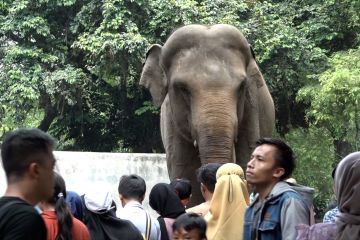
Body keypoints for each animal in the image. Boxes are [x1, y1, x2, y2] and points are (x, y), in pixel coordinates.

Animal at [139, 23, 274, 204]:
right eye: (182, 88)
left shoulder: (251, 109)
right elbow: (184, 170)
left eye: (242, 86)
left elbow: (246, 159)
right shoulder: (172, 122)